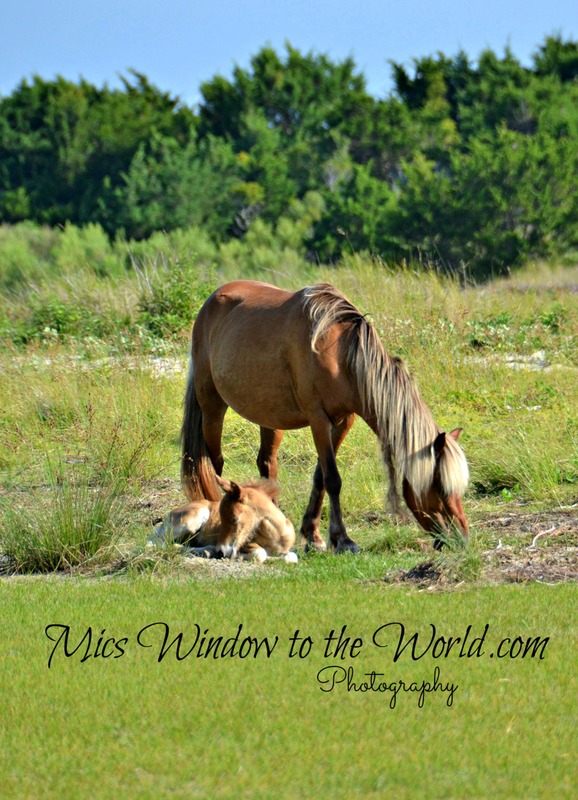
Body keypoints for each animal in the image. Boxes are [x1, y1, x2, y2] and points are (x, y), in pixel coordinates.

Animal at [153, 475, 297, 562]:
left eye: (234, 518)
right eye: (221, 519)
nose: (221, 552)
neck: (276, 537)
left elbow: (292, 557)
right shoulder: (245, 544)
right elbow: (260, 554)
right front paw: (239, 557)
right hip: (192, 520)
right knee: (158, 542)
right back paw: (208, 551)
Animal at [181, 280, 470, 553]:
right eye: (440, 488)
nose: (462, 539)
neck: (340, 355)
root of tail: (210, 303)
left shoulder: (343, 420)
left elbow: (320, 476)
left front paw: (314, 536)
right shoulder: (319, 419)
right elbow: (332, 478)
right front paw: (342, 539)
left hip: (270, 417)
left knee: (266, 465)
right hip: (212, 406)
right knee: (214, 464)